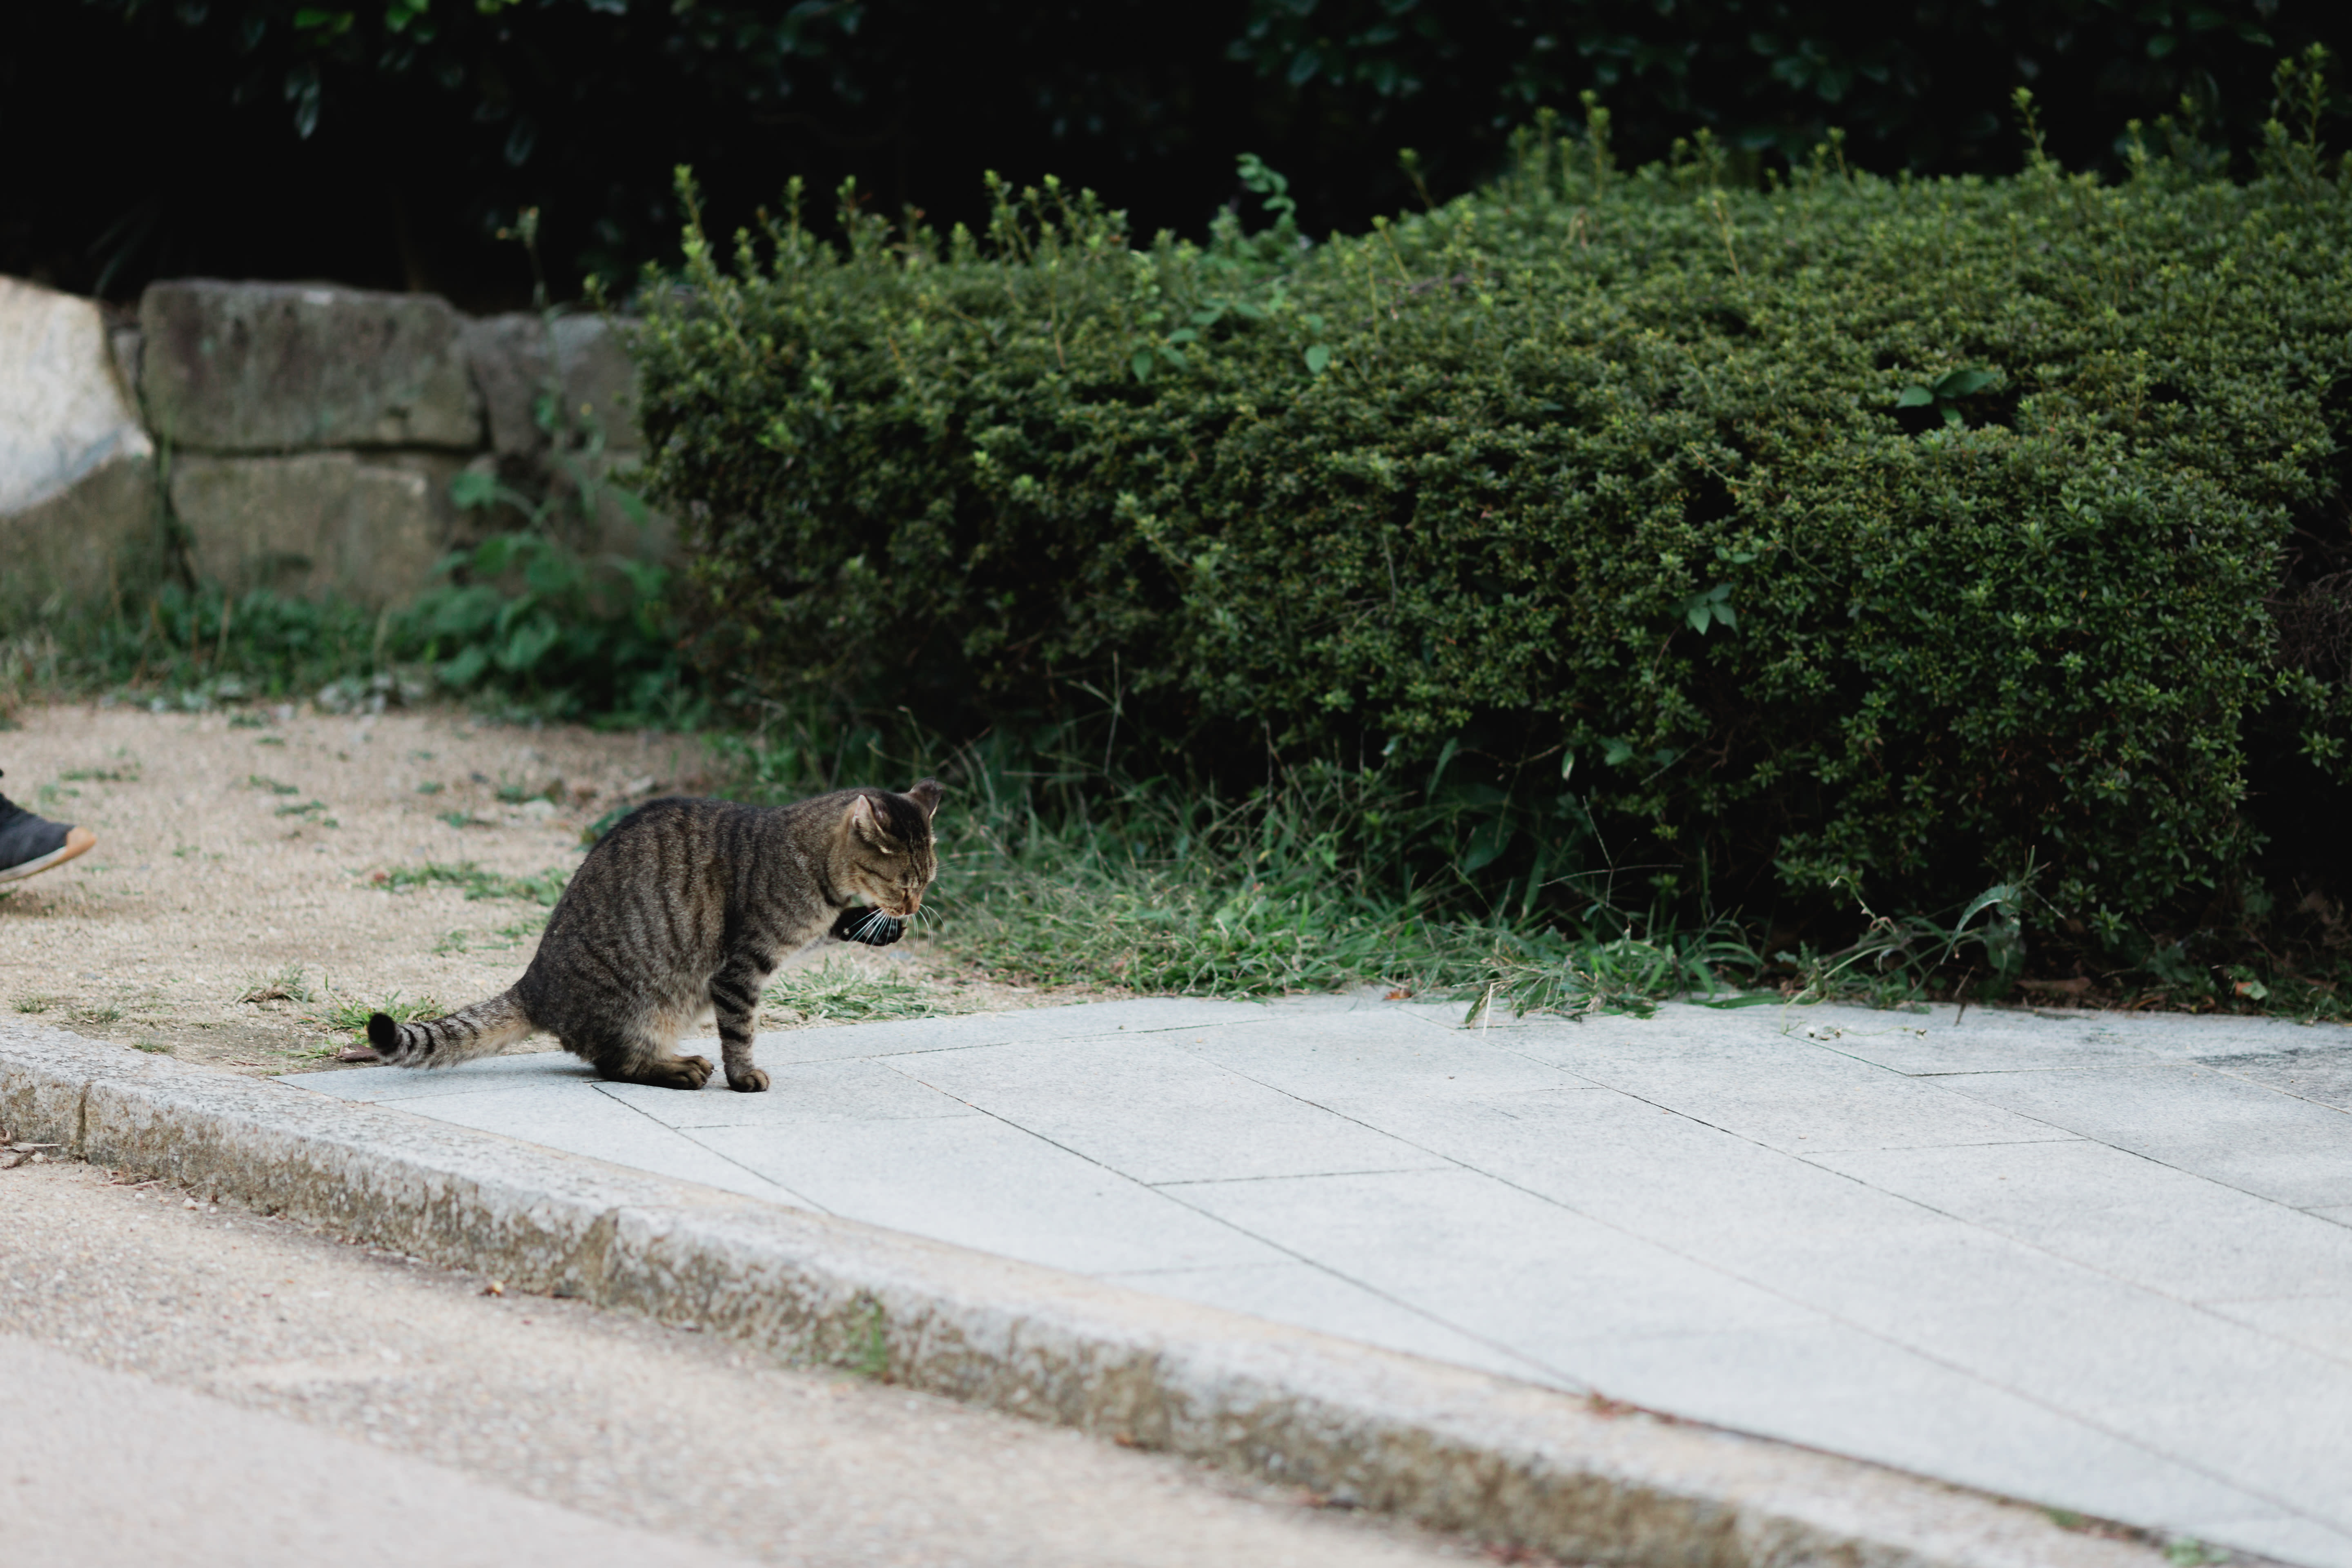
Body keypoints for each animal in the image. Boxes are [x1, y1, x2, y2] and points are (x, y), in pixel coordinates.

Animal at [366, 780, 942, 1092]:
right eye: (905, 882)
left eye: (928, 881)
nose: (914, 906)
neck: (818, 876)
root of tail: (535, 984)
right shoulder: (740, 970)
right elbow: (741, 1032)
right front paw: (743, 1076)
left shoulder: (810, 930)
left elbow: (837, 927)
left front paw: (878, 928)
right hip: (643, 1005)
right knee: (616, 1063)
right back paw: (681, 1069)